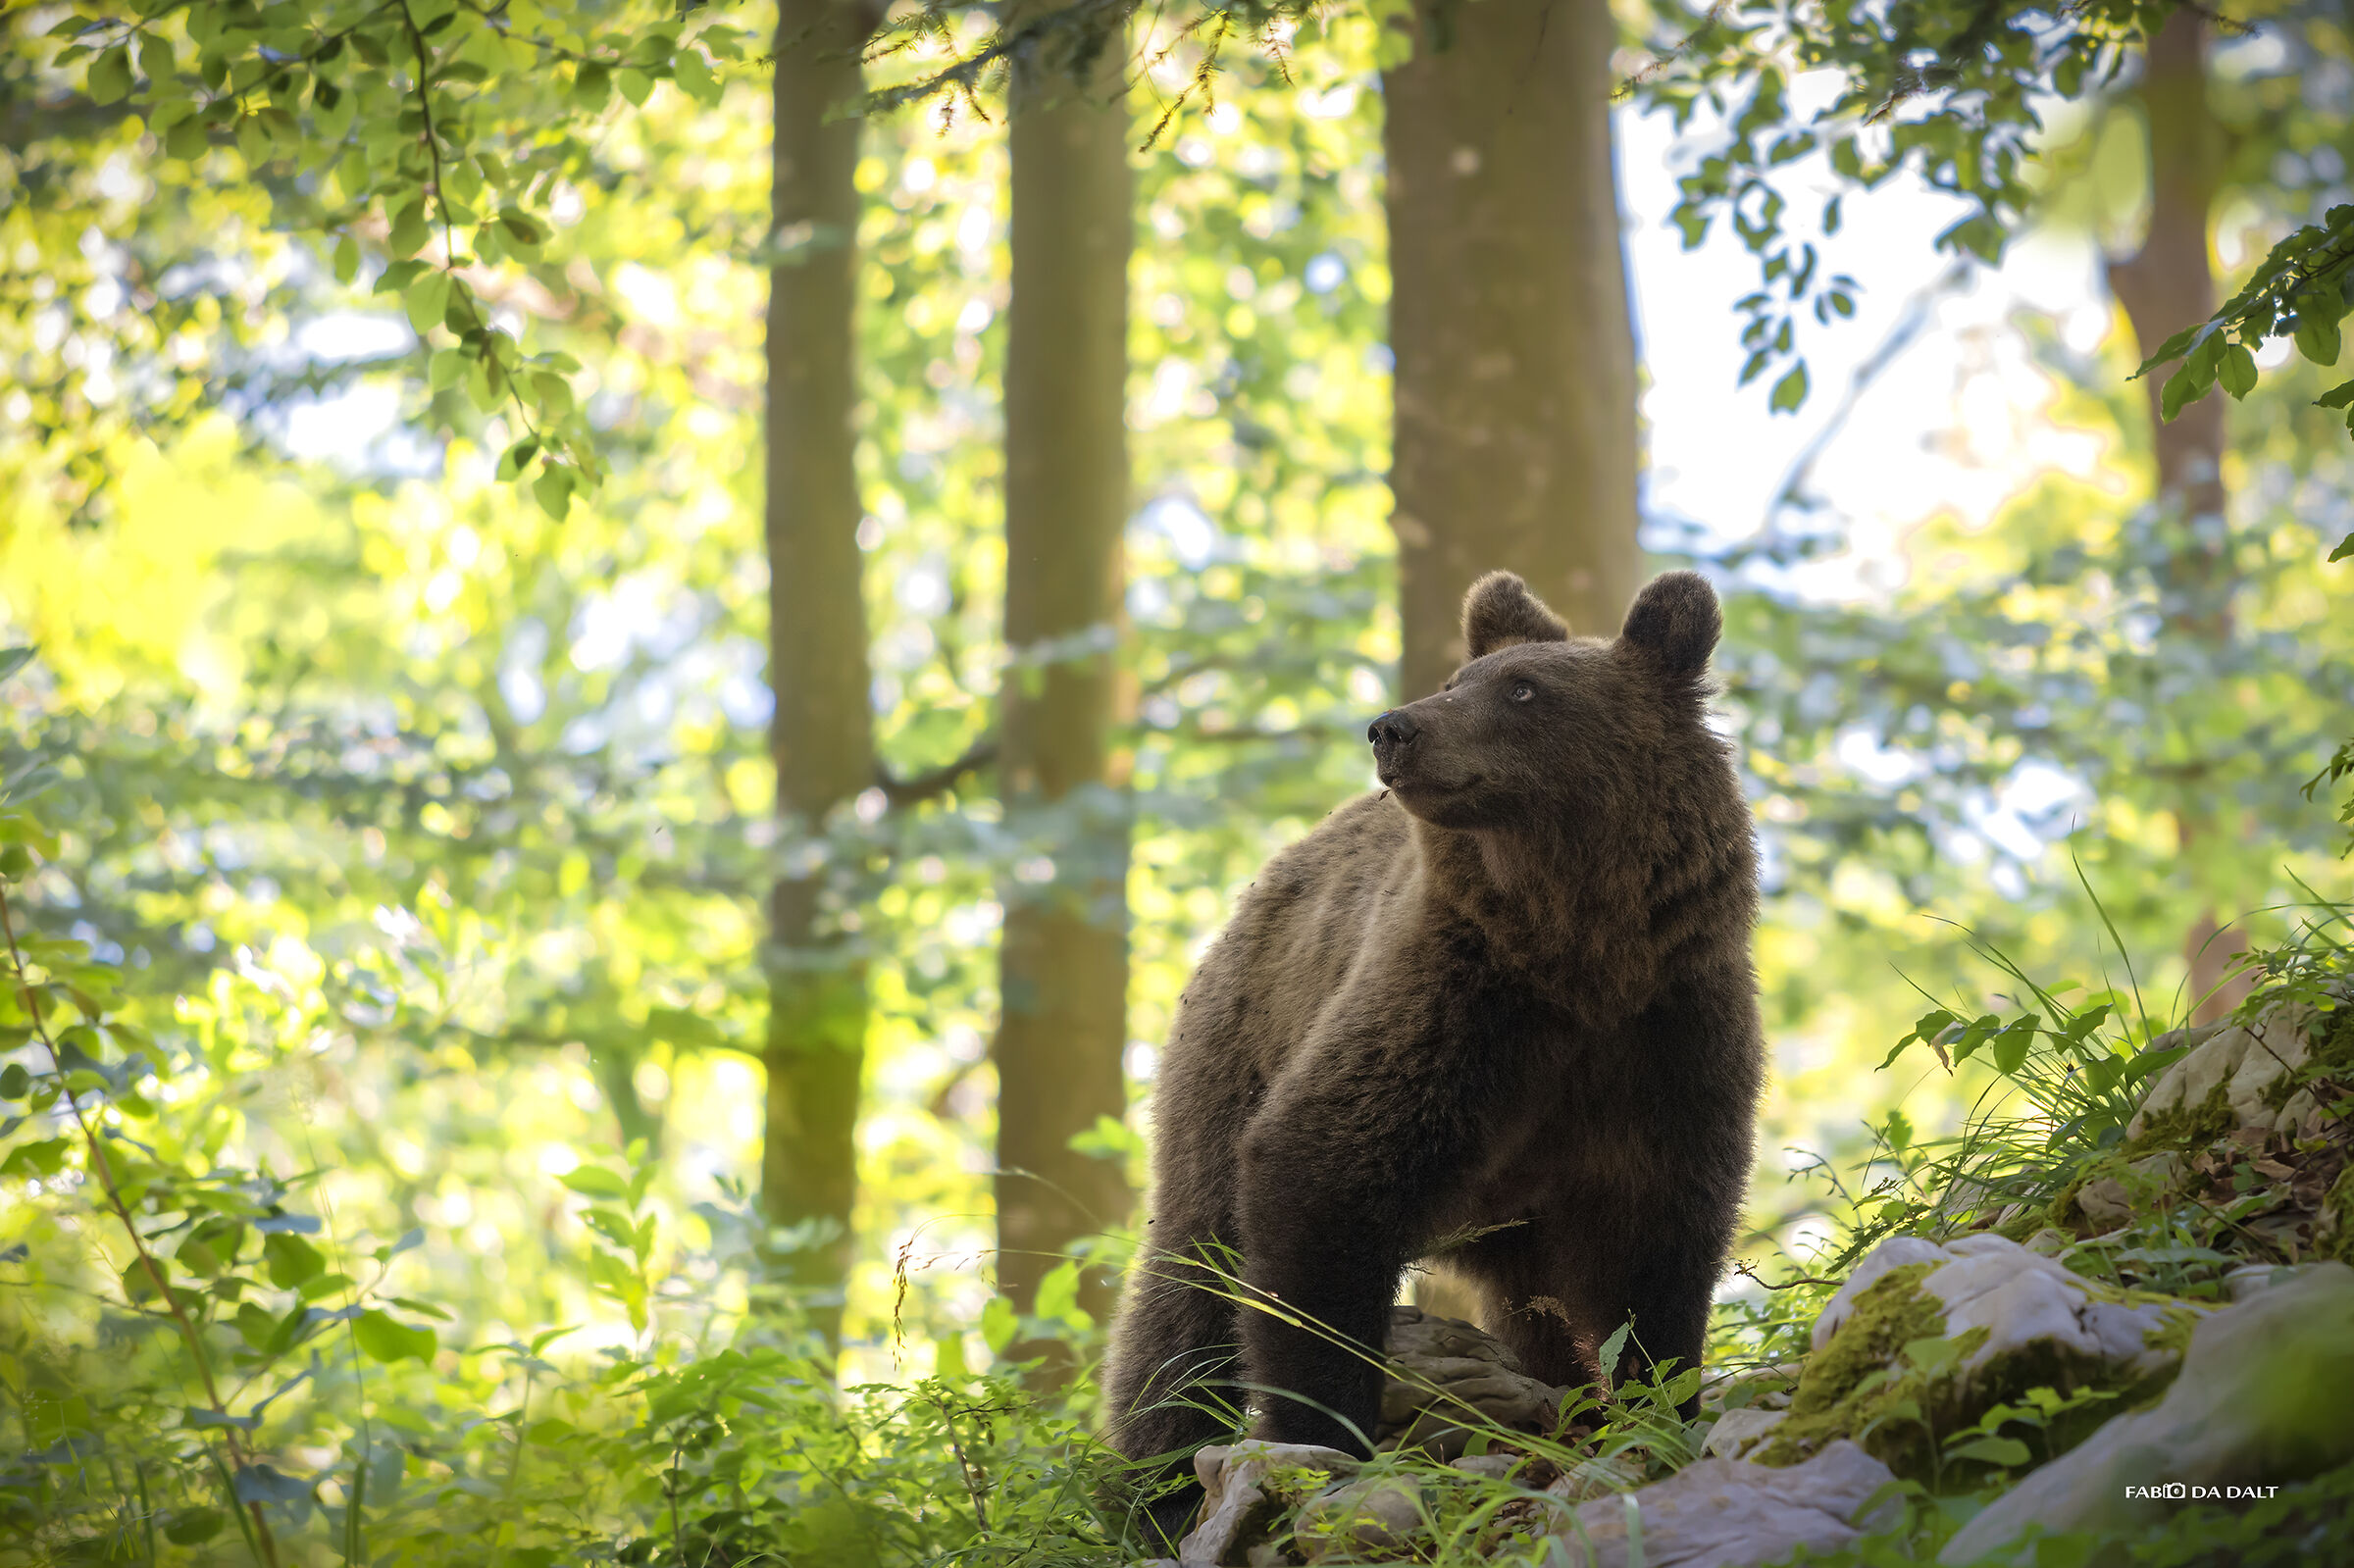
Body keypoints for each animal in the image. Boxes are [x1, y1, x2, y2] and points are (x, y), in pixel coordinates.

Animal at [1101, 568, 1762, 1542]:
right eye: (1459, 680)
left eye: (1523, 688)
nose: (1393, 726)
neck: (1576, 957)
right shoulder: (1453, 1009)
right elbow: (1320, 1175)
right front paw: (1322, 1435)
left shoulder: (1667, 1040)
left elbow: (1659, 1249)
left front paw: (1655, 1405)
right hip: (1235, 1050)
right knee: (1190, 1286)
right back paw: (1157, 1485)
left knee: (1537, 1314)